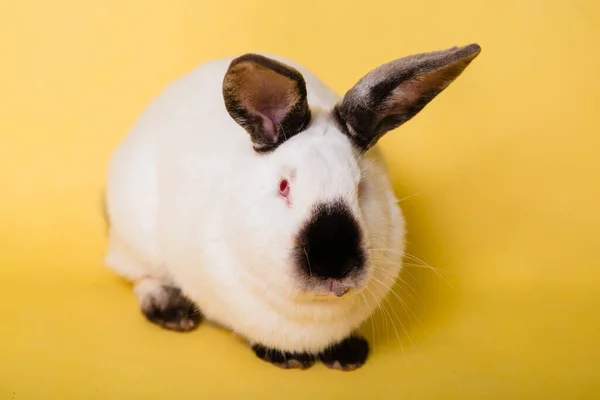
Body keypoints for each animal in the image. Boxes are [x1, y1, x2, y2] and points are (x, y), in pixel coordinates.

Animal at [102, 42, 478, 370]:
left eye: (360, 188)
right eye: (284, 187)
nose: (333, 264)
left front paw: (347, 356)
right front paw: (288, 358)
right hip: (136, 236)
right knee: (137, 274)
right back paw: (173, 314)